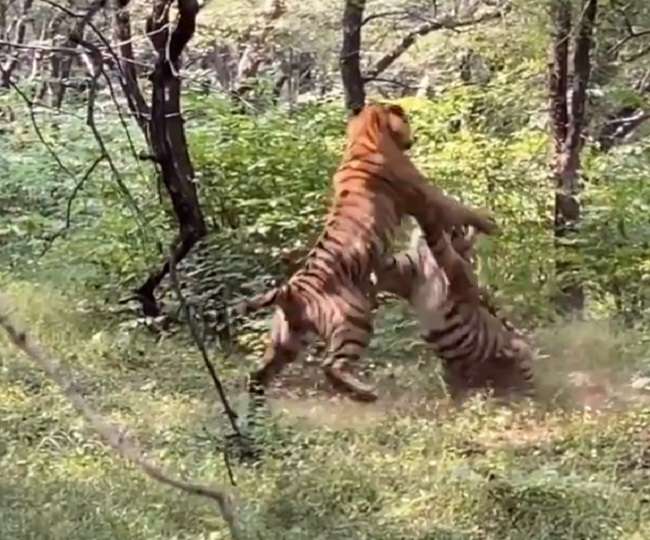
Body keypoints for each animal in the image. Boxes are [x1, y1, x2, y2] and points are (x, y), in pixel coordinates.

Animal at [235, 103, 497, 417]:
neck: (365, 134)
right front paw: (488, 221)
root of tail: (291, 291)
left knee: (257, 375)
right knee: (331, 366)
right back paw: (365, 394)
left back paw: (256, 409)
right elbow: (458, 208)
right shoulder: (426, 194)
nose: (413, 138)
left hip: (285, 341)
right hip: (355, 319)